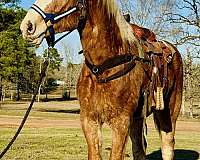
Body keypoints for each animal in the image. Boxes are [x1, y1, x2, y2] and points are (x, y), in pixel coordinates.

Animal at [20, 0, 183, 160]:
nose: (28, 26)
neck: (103, 67)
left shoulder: (121, 123)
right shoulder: (89, 120)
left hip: (168, 113)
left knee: (167, 145)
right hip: (137, 118)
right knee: (139, 149)